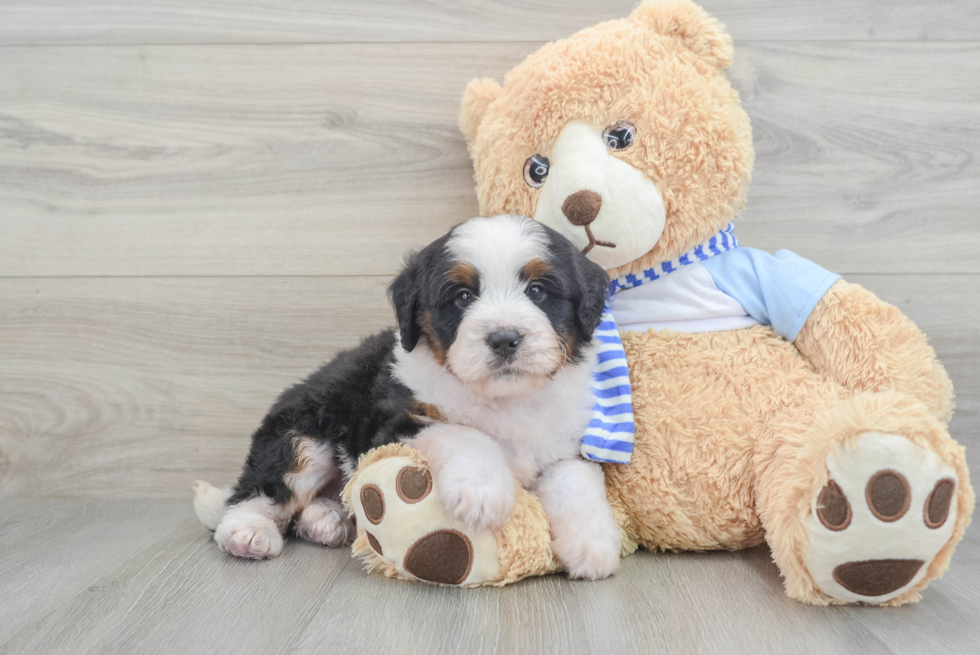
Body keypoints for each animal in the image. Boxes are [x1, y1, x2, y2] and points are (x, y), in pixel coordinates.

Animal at [195, 214, 620, 580]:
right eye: (462, 296)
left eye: (537, 291)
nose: (503, 338)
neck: (505, 399)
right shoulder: (396, 421)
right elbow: (463, 433)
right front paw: (482, 491)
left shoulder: (566, 439)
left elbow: (576, 478)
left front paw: (593, 541)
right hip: (305, 431)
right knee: (262, 489)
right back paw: (248, 531)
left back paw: (325, 520)